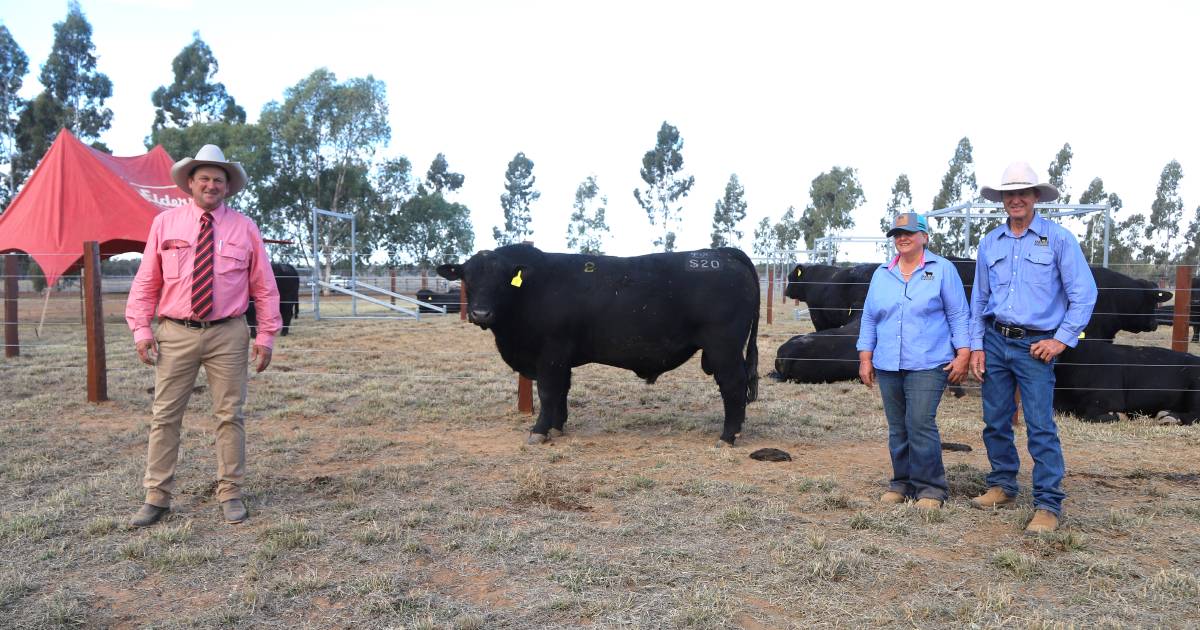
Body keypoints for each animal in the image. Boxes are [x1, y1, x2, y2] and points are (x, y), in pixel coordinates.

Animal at [439, 243, 758, 444]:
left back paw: (727, 437)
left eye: (503, 279)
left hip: (723, 347)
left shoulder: (550, 353)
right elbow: (561, 391)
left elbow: (548, 391)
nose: (480, 313)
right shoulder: (562, 358)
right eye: (467, 277)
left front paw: (539, 431)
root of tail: (722, 252)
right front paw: (557, 427)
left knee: (733, 385)